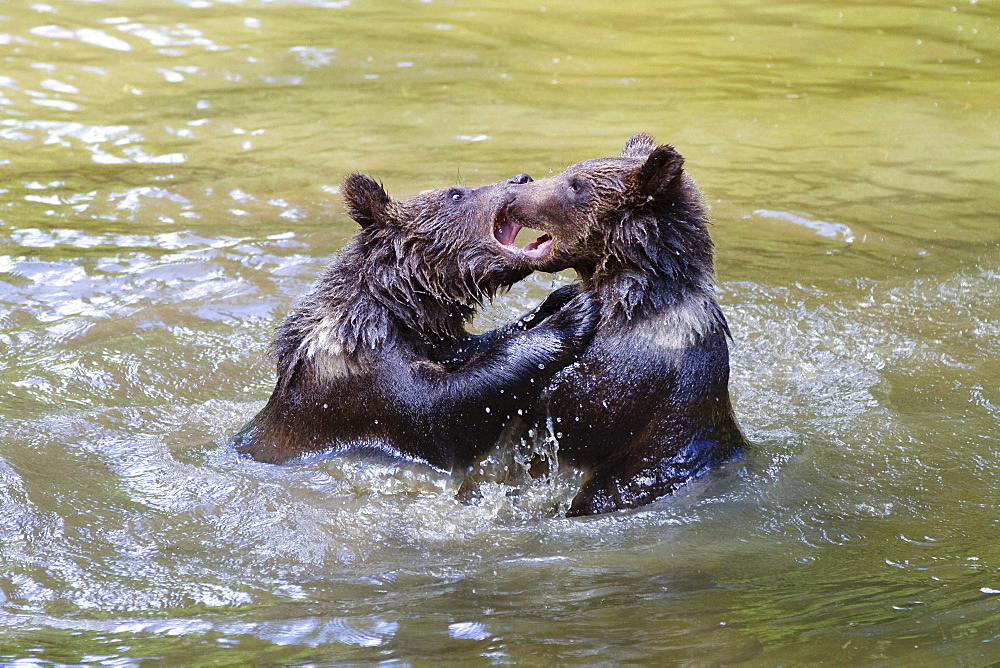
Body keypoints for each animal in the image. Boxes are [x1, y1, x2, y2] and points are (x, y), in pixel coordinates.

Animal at [230, 172, 596, 474]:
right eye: (456, 194)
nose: (521, 178)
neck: (397, 308)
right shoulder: (360, 379)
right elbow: (442, 413)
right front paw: (573, 315)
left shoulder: (435, 342)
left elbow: (473, 348)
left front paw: (560, 297)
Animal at [508, 132, 752, 516]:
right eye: (569, 172)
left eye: (575, 185)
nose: (514, 190)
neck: (632, 301)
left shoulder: (635, 373)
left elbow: (578, 414)